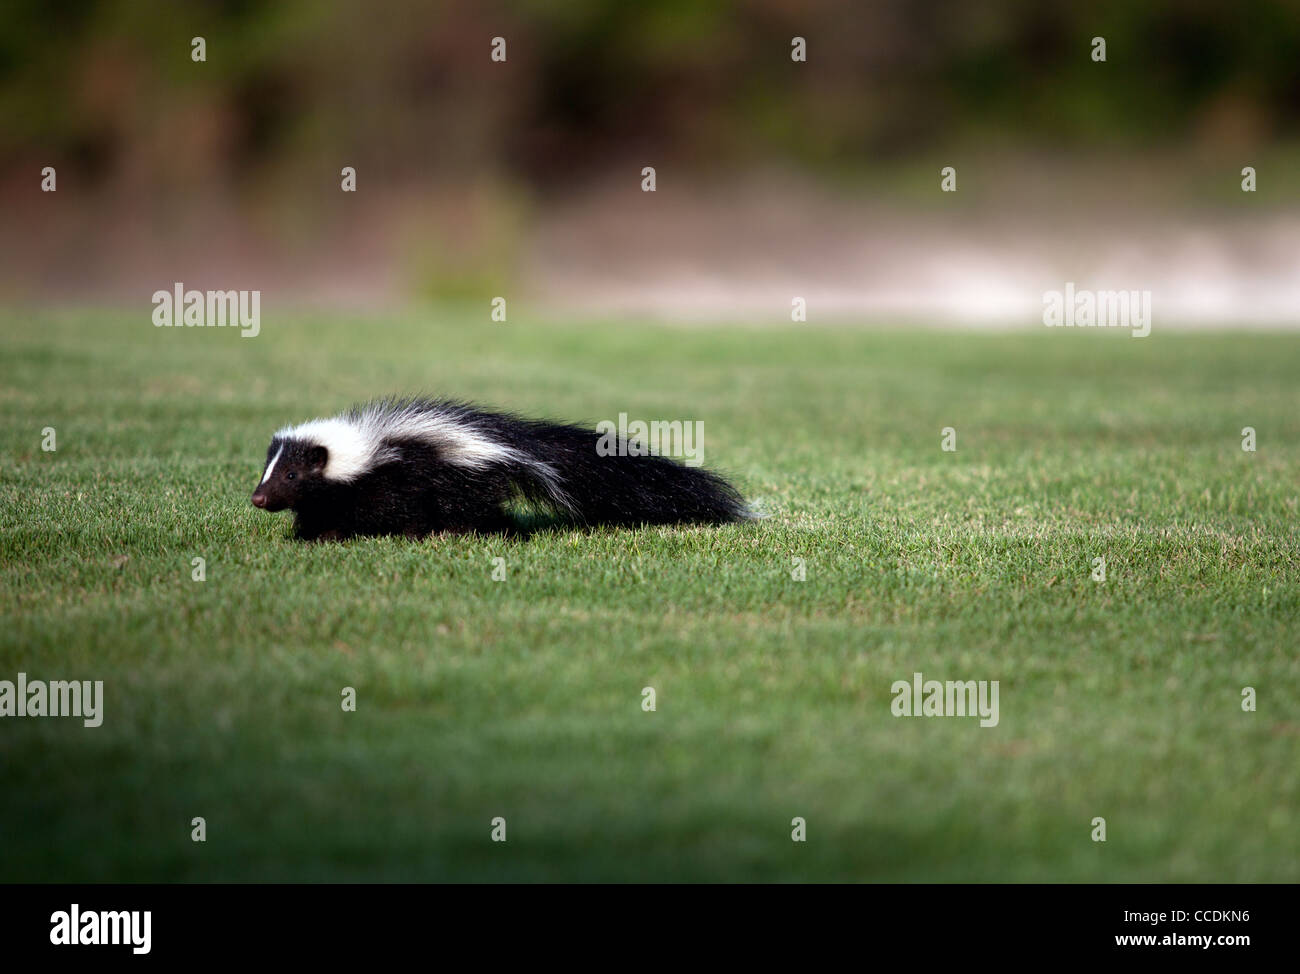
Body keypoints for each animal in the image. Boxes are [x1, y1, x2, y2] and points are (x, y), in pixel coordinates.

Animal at [249, 397, 754, 543]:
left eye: (292, 475)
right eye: (267, 471)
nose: (257, 498)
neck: (365, 451)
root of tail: (512, 441)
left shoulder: (396, 476)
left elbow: (385, 509)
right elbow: (323, 513)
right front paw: (310, 535)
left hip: (465, 483)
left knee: (483, 513)